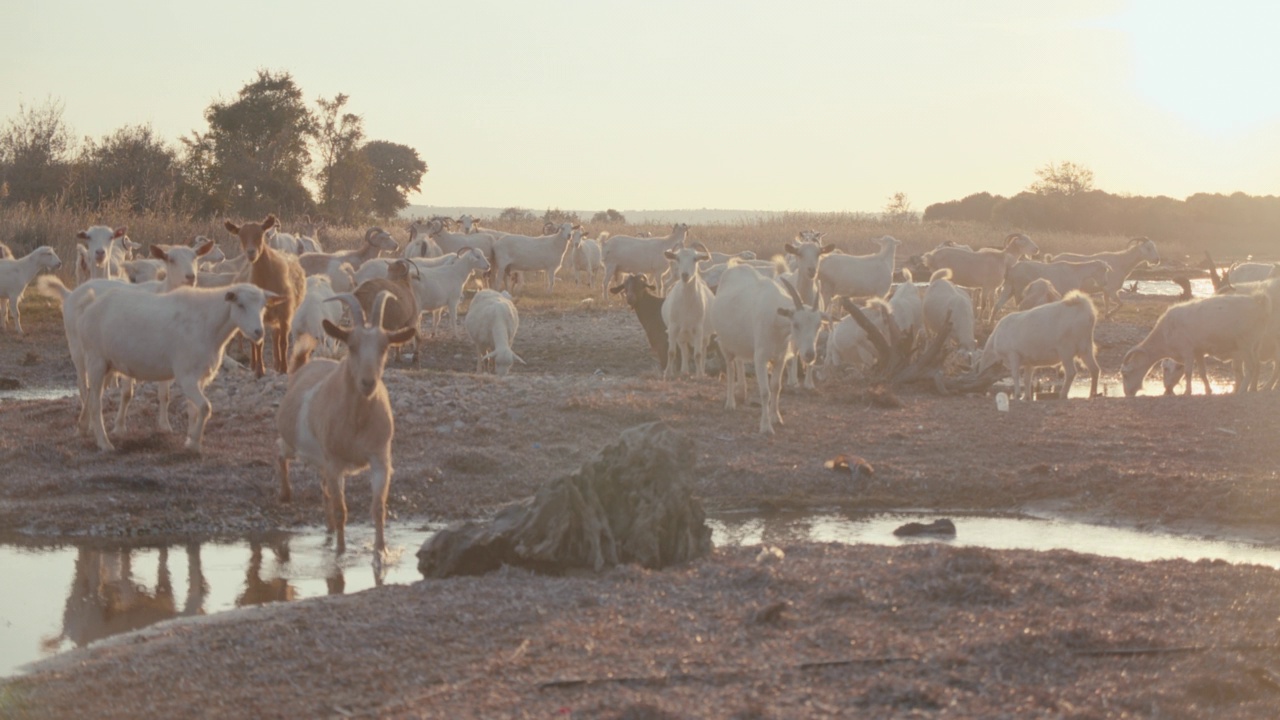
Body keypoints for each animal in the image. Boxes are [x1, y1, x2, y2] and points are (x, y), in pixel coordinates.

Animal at [224, 212, 305, 376]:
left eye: (260, 234)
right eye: (241, 235)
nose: (251, 252)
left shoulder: (285, 312)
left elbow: (283, 342)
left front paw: (284, 369)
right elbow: (259, 343)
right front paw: (260, 369)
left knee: (276, 337)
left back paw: (277, 364)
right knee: (254, 341)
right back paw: (254, 365)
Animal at [275, 288, 414, 550]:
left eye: (385, 347)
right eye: (352, 345)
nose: (368, 382)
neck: (357, 421)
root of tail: (302, 367)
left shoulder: (380, 459)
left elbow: (378, 509)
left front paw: (381, 550)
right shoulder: (335, 462)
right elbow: (342, 511)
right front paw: (340, 551)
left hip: (321, 459)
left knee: (324, 489)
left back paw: (328, 527)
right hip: (293, 443)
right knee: (279, 454)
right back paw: (286, 494)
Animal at [665, 242, 716, 376]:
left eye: (695, 259)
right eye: (677, 258)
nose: (684, 275)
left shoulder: (698, 329)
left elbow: (698, 355)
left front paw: (699, 375)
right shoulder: (673, 327)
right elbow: (671, 352)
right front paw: (667, 373)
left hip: (705, 335)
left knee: (703, 351)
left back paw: (701, 371)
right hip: (681, 335)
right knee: (684, 350)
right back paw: (684, 371)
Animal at [706, 270, 824, 430]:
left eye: (818, 325)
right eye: (796, 324)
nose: (810, 354)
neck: (775, 318)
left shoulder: (780, 357)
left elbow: (776, 387)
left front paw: (776, 418)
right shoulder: (760, 358)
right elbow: (765, 392)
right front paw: (766, 426)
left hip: (741, 342)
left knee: (739, 361)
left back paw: (741, 393)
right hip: (725, 343)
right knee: (730, 369)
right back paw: (730, 403)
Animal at [1121, 288, 1269, 394]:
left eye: (1125, 374)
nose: (1127, 393)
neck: (1165, 332)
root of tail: (1259, 302)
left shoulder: (1187, 351)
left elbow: (1188, 372)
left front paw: (1187, 391)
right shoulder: (1198, 352)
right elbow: (1202, 372)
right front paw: (1208, 390)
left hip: (1245, 345)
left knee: (1251, 367)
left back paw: (1243, 390)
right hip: (1256, 345)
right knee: (1257, 365)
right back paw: (1253, 389)